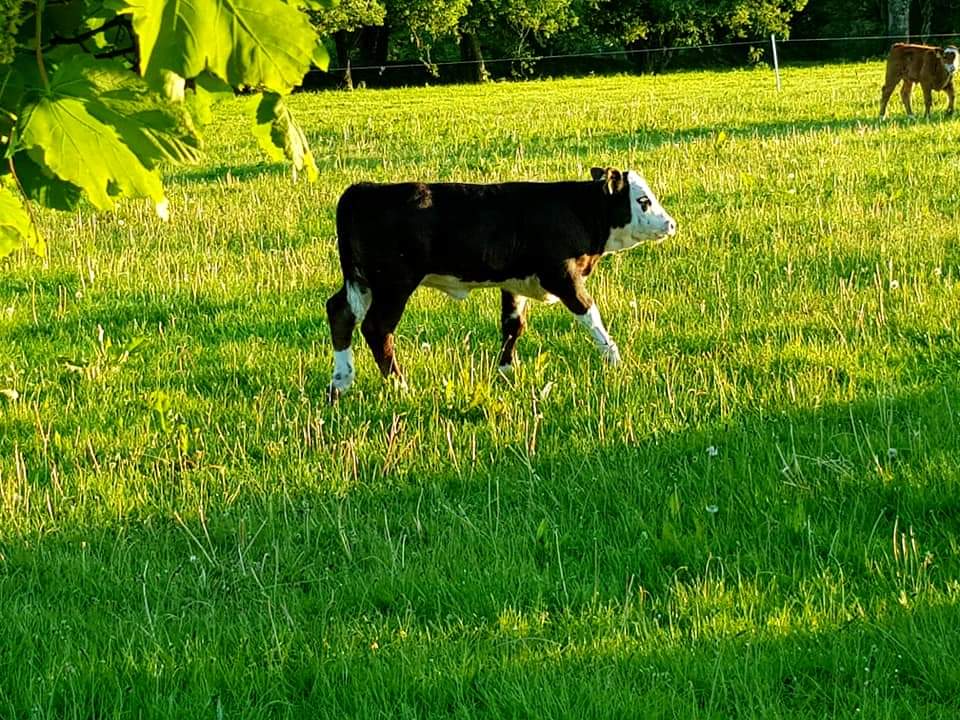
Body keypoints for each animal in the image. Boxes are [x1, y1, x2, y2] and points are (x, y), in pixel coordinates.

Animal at [326, 167, 680, 400]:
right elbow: (592, 318)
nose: (671, 224)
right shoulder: (563, 276)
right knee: (376, 328)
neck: (576, 211)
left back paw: (341, 383)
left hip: (363, 283)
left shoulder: (514, 282)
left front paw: (506, 373)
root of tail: (365, 189)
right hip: (394, 284)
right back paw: (399, 386)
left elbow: (513, 325)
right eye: (643, 200)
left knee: (340, 312)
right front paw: (616, 362)